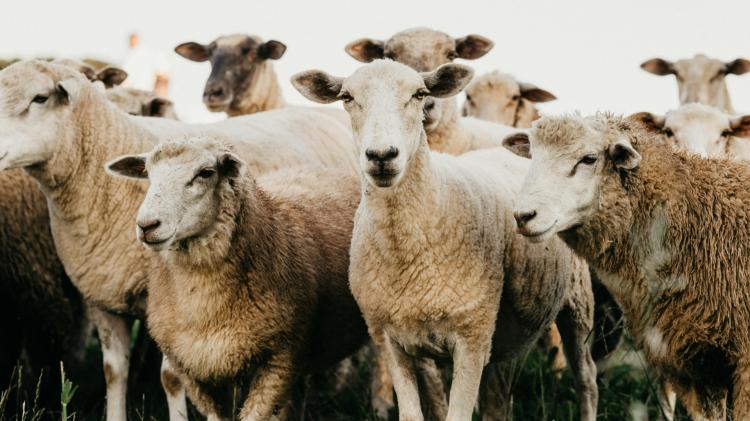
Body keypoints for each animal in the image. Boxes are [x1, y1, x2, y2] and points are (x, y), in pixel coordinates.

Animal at [106, 137, 368, 420]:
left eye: (206, 173)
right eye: (148, 173)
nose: (146, 225)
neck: (205, 307)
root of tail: (325, 170)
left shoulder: (279, 360)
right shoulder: (197, 369)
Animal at [292, 59, 598, 421]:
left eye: (419, 94)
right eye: (347, 97)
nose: (381, 155)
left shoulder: (470, 338)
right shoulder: (392, 340)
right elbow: (416, 412)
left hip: (576, 300)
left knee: (587, 377)